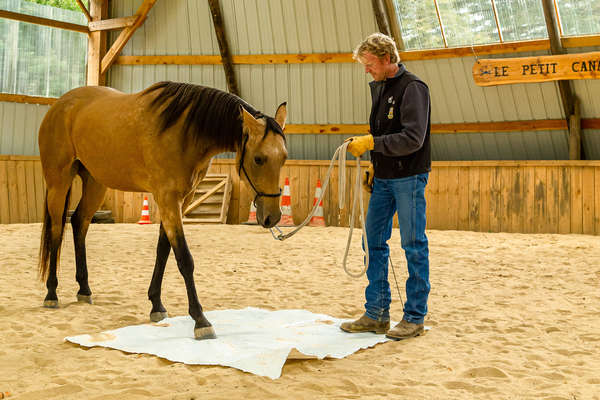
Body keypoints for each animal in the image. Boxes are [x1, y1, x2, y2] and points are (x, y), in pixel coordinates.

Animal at [37, 83, 288, 340]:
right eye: (258, 159)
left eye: (283, 158)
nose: (273, 217)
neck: (184, 130)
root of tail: (60, 105)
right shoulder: (168, 198)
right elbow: (184, 258)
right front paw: (200, 319)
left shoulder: (182, 200)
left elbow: (163, 250)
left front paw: (156, 305)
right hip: (59, 182)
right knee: (56, 231)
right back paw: (51, 293)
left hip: (95, 183)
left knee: (79, 222)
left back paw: (84, 289)